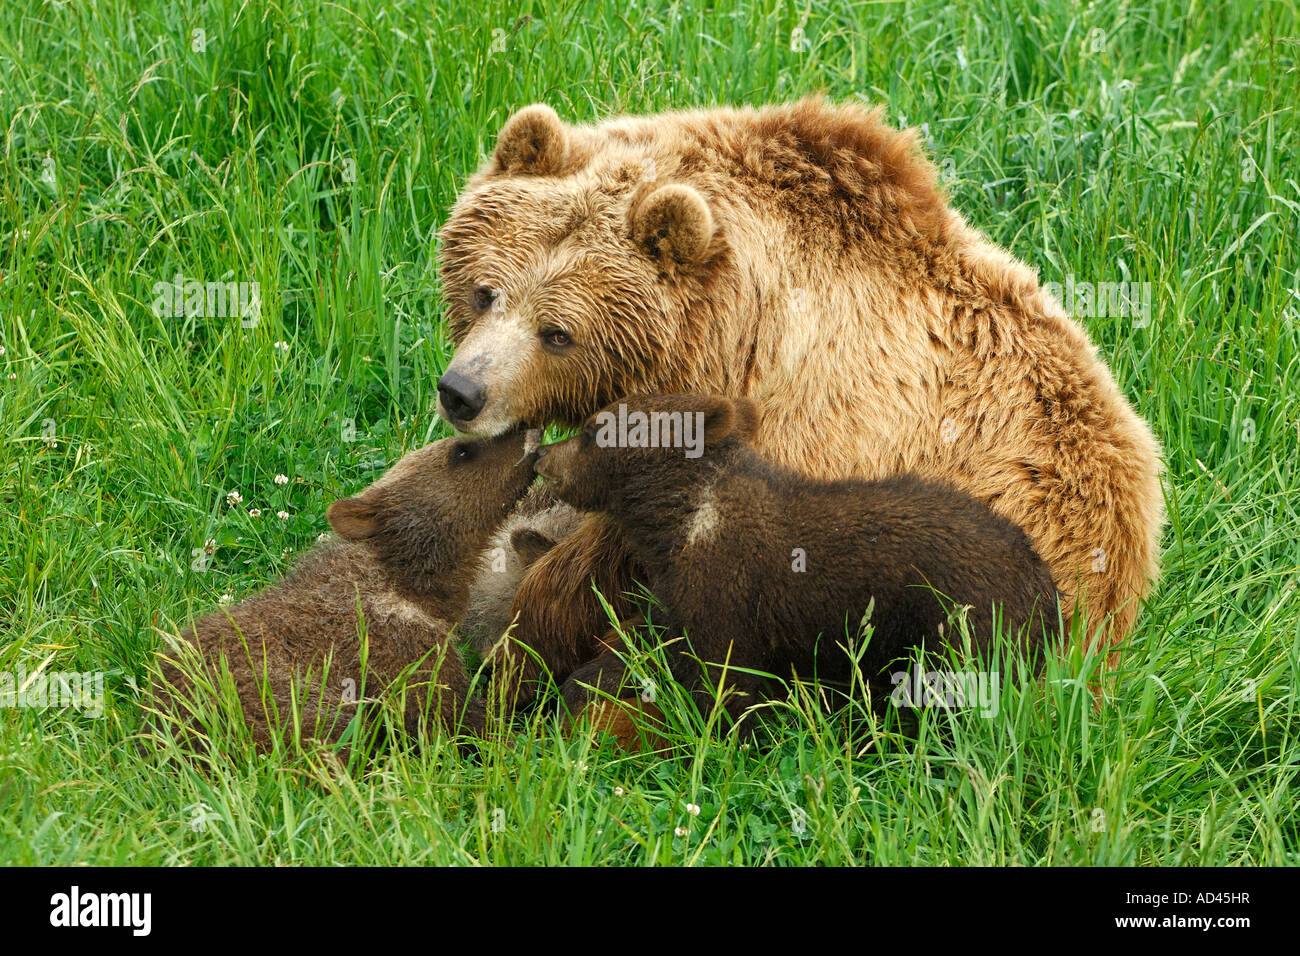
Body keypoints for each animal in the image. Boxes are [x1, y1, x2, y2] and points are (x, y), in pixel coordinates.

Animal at [533, 392, 1060, 728]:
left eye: (591, 428)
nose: (540, 453)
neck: (680, 519)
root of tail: (1047, 589)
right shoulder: (675, 594)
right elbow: (645, 648)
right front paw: (572, 694)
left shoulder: (727, 588)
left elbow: (725, 680)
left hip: (961, 626)